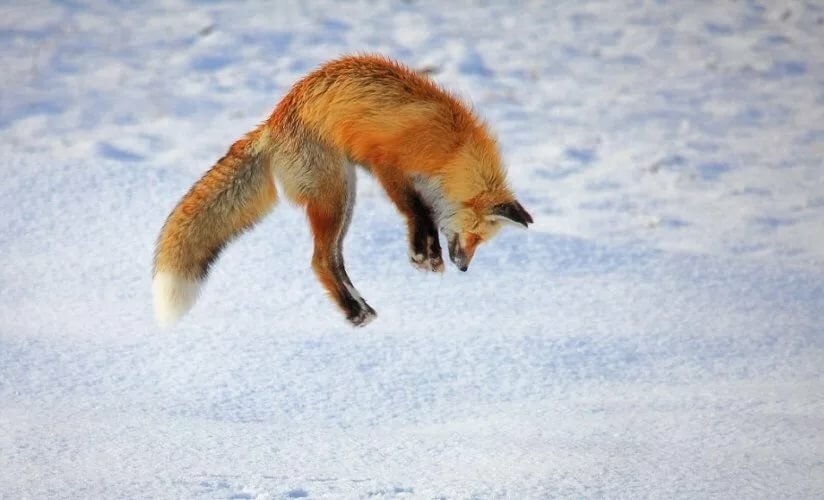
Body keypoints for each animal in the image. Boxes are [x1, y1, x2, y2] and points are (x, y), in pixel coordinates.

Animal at [153, 54, 533, 328]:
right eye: (475, 235)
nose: (464, 268)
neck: (453, 152)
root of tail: (273, 122)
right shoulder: (388, 164)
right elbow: (417, 210)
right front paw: (424, 255)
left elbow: (423, 212)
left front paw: (427, 254)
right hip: (335, 196)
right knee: (320, 260)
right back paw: (355, 312)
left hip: (343, 196)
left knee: (332, 258)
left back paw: (357, 308)